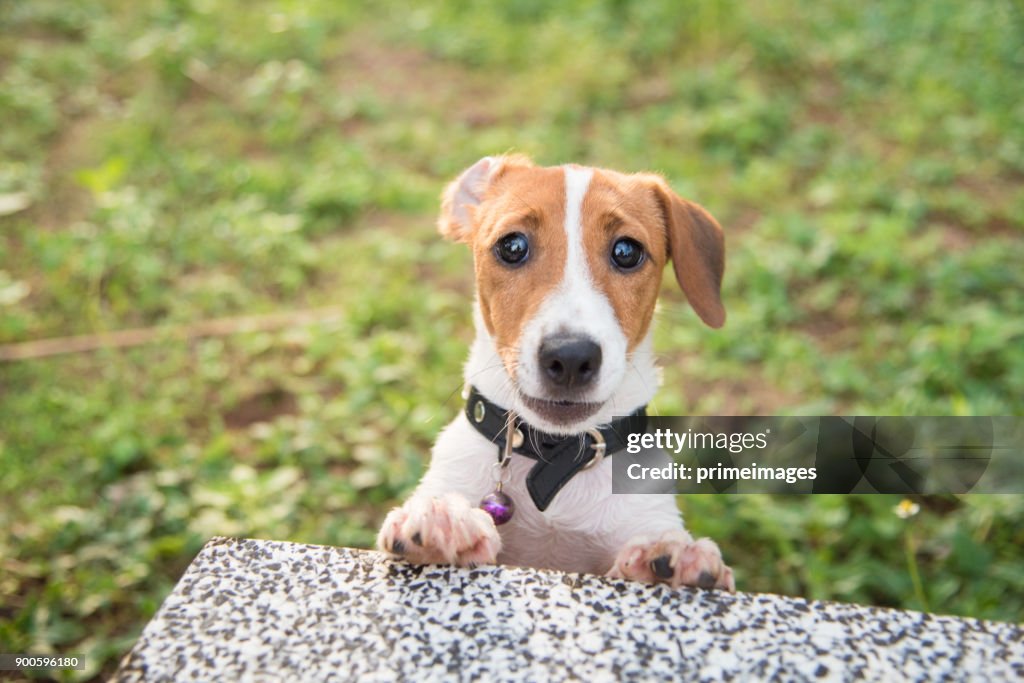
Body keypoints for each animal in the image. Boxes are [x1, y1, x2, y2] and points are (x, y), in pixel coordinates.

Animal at [376, 156, 737, 593]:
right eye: (512, 246)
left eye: (627, 251)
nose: (570, 357)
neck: (555, 460)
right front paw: (442, 524)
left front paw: (671, 556)